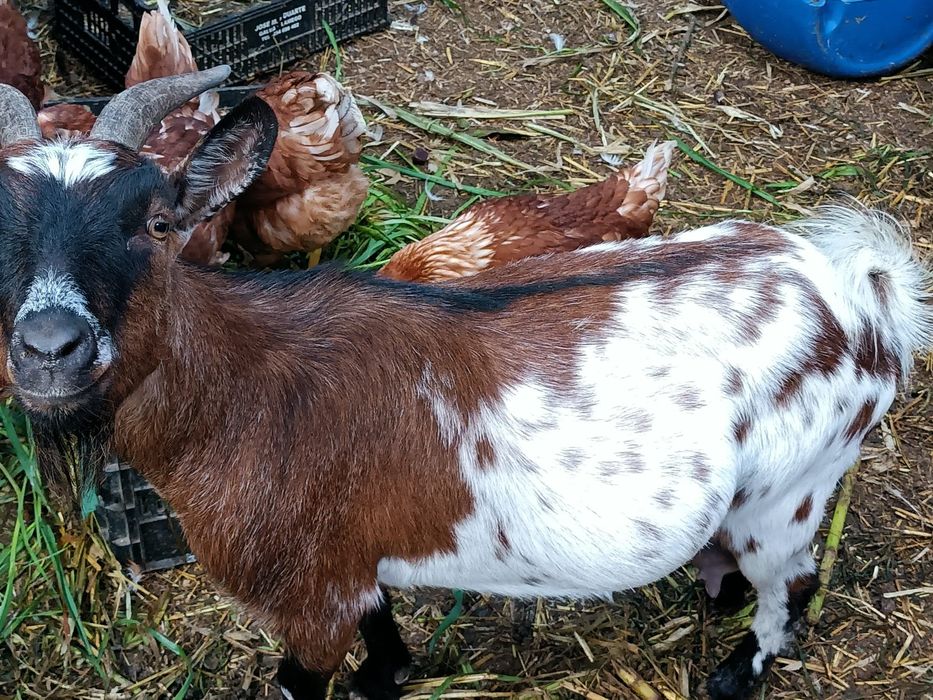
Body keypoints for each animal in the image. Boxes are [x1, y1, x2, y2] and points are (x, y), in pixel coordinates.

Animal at [0, 68, 929, 700]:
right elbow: (383, 622)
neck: (242, 394)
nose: (50, 349)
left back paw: (737, 672)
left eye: (158, 224)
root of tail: (859, 293)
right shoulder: (350, 562)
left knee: (795, 585)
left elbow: (300, 679)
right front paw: (388, 676)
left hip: (792, 492)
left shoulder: (307, 599)